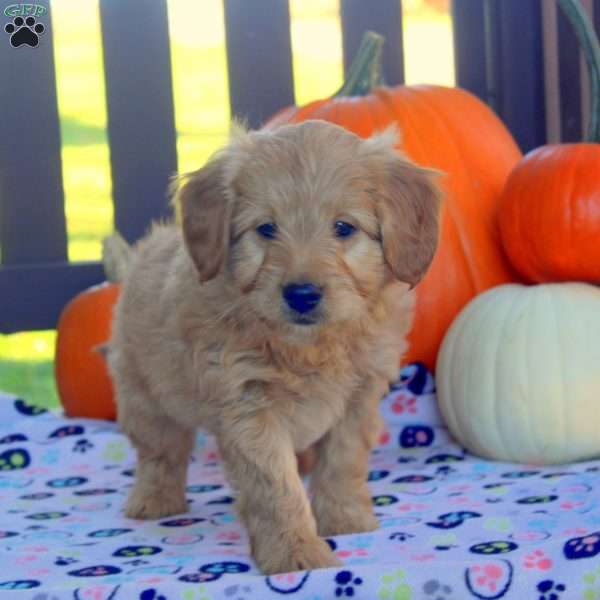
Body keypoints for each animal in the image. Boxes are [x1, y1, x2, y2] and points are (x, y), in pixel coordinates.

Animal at [108, 119, 440, 576]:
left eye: (343, 228)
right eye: (266, 229)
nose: (301, 294)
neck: (307, 347)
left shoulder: (358, 400)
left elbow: (343, 464)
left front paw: (345, 519)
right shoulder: (249, 409)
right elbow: (276, 490)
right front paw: (295, 553)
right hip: (144, 394)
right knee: (160, 453)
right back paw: (154, 501)